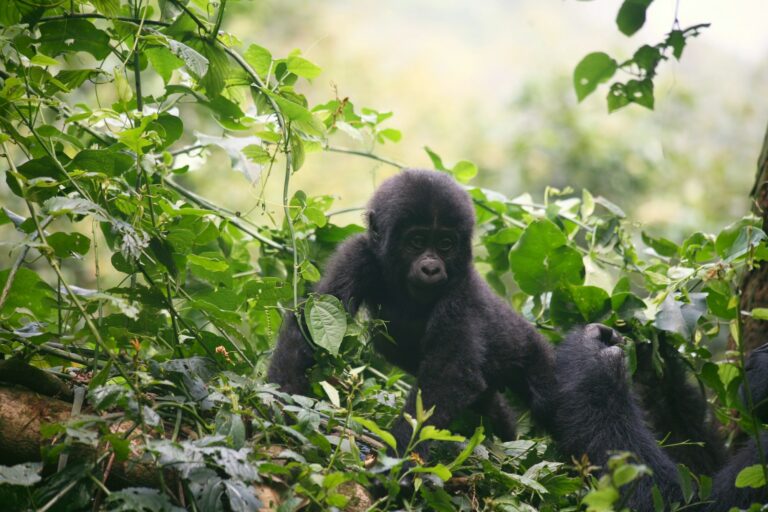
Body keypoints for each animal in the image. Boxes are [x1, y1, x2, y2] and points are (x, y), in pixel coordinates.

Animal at [268, 170, 556, 458]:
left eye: (446, 244)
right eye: (417, 242)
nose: (431, 268)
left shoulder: (461, 293)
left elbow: (448, 377)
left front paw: (400, 455)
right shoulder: (357, 254)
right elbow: (311, 325)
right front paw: (281, 404)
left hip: (539, 359)